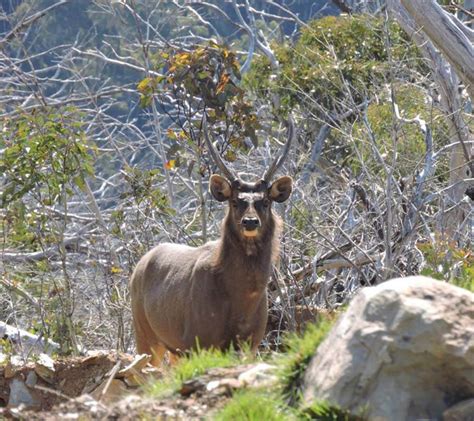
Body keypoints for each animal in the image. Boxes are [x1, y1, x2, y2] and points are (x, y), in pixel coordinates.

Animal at [130, 116, 292, 362]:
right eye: (234, 201)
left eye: (265, 202)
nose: (250, 222)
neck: (241, 303)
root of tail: (138, 266)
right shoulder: (197, 340)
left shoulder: (252, 342)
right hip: (144, 332)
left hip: (172, 347)